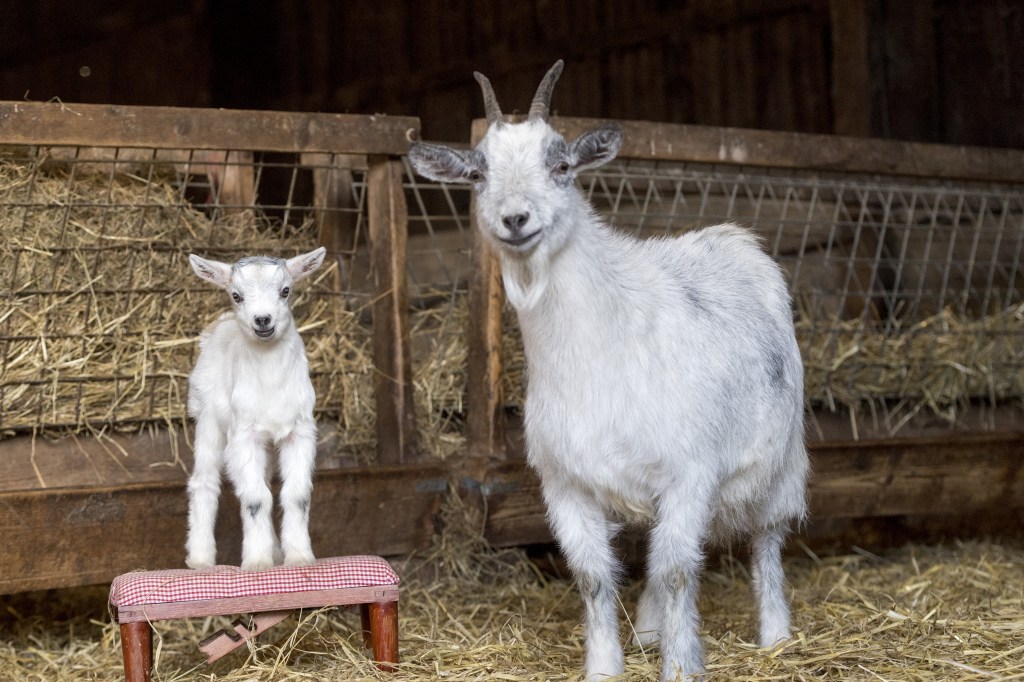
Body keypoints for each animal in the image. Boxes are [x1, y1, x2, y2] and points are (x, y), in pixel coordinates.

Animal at [185, 244, 323, 569]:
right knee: (204, 482)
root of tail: (219, 324)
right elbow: (256, 498)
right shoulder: (243, 436)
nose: (263, 320)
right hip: (207, 418)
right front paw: (258, 562)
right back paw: (200, 559)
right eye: (236, 295)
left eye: (286, 290)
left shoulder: (299, 431)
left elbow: (296, 494)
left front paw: (299, 557)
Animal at [407, 61, 806, 675]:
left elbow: (678, 569)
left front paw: (682, 667)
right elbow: (594, 576)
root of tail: (732, 236)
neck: (598, 350)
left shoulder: (690, 473)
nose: (515, 219)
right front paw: (603, 666)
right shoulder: (566, 484)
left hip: (782, 460)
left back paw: (776, 635)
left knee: (765, 538)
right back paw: (650, 628)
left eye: (561, 166)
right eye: (477, 174)